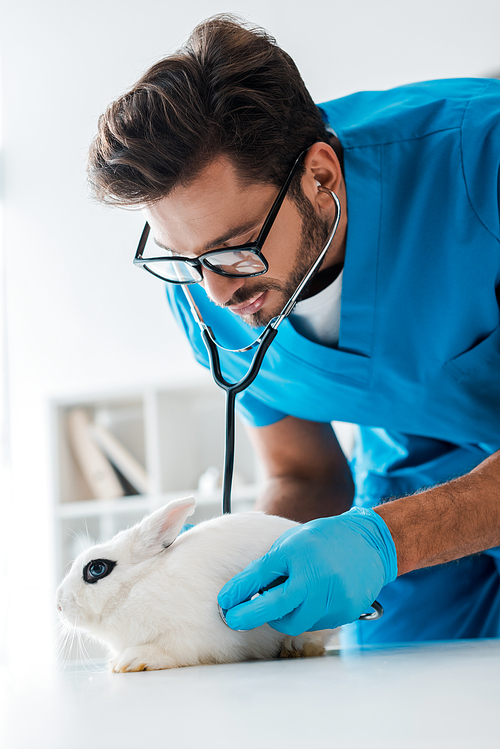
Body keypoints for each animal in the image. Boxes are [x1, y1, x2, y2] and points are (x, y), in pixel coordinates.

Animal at [56, 496, 332, 672]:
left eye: (96, 569)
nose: (58, 606)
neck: (135, 587)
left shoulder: (193, 635)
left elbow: (170, 650)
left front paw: (131, 660)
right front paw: (115, 663)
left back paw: (297, 647)